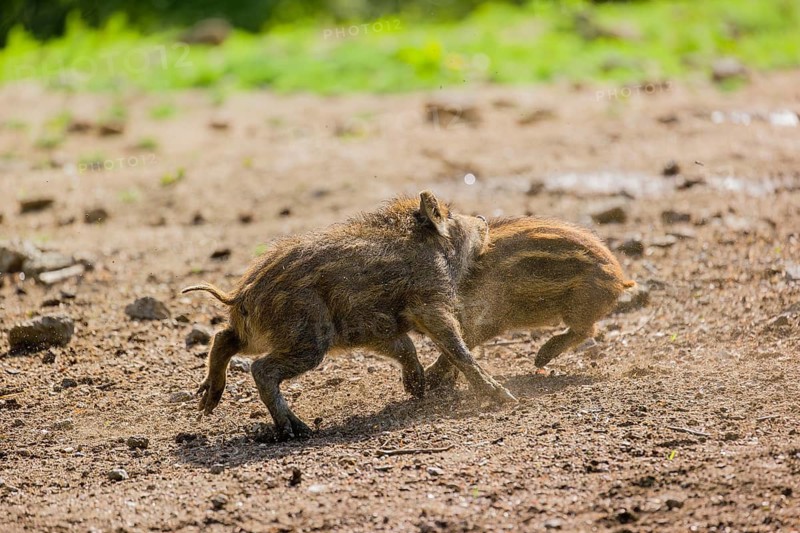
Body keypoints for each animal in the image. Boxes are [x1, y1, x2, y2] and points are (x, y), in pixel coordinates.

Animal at [182, 191, 516, 440]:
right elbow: (458, 349)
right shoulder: (430, 304)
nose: (482, 219)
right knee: (261, 368)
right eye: (450, 216)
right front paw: (505, 398)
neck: (434, 253)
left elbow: (406, 348)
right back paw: (297, 429)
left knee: (223, 337)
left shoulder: (375, 328)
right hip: (308, 339)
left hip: (263, 334)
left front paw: (417, 389)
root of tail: (241, 293)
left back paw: (207, 402)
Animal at [425, 216, 636, 390]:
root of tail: (620, 280)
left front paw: (429, 378)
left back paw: (540, 358)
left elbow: (460, 346)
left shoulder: (490, 318)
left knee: (587, 330)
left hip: (578, 308)